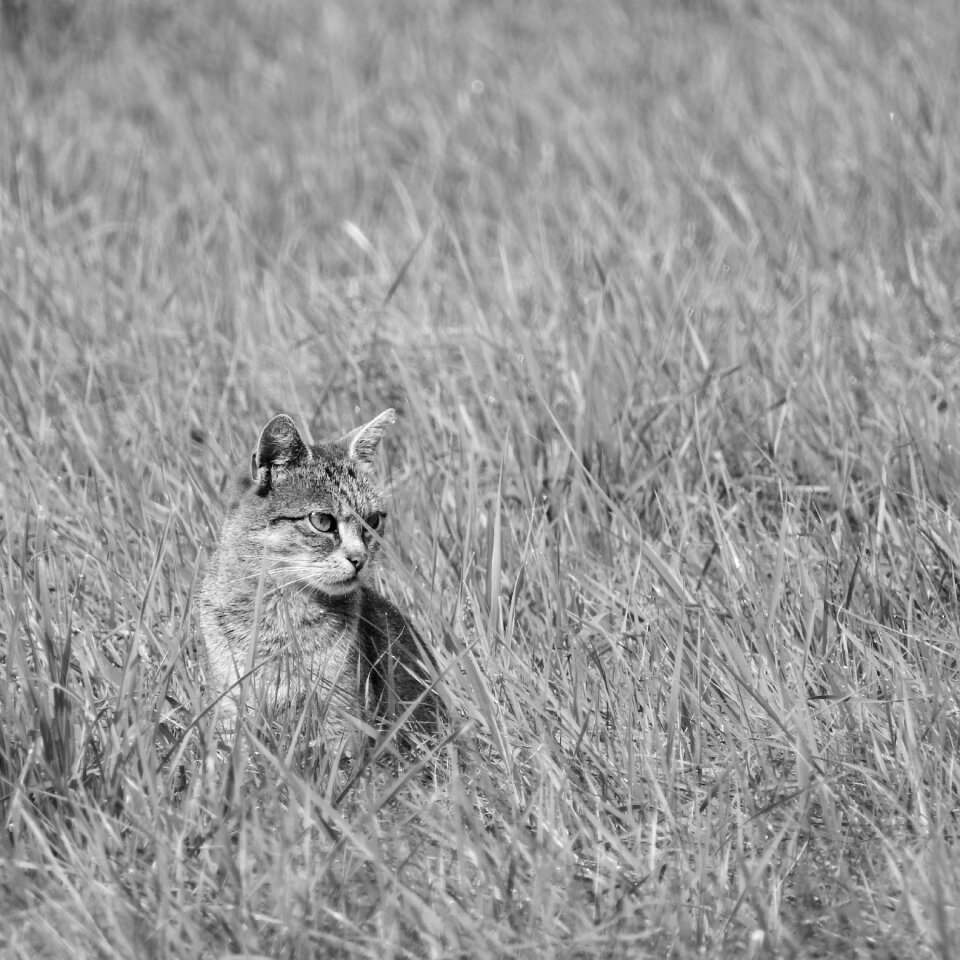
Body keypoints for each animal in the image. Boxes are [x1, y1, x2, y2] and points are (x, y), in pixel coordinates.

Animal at [199, 408, 438, 752]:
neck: (281, 614)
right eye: (323, 521)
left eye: (373, 521)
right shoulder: (231, 707)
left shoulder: (343, 713)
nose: (360, 559)